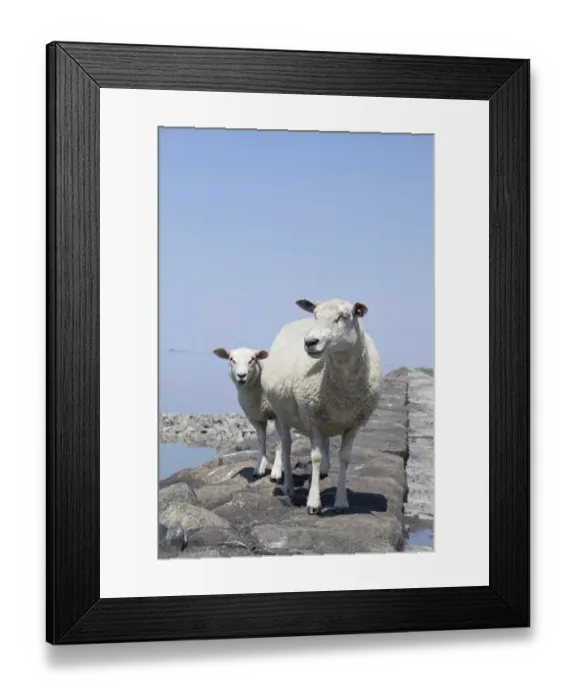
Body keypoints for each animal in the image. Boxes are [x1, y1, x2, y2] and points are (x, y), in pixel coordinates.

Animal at [213, 347, 284, 481]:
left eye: (252, 359)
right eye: (231, 359)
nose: (241, 375)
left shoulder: (279, 416)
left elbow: (279, 441)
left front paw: (276, 471)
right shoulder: (255, 418)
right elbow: (261, 440)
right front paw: (259, 468)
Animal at [261, 298, 382, 515]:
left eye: (344, 316)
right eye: (315, 315)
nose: (310, 342)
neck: (344, 392)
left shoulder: (354, 424)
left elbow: (345, 458)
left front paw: (341, 501)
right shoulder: (313, 420)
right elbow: (315, 457)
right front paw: (313, 502)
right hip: (283, 415)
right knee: (286, 447)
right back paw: (289, 486)